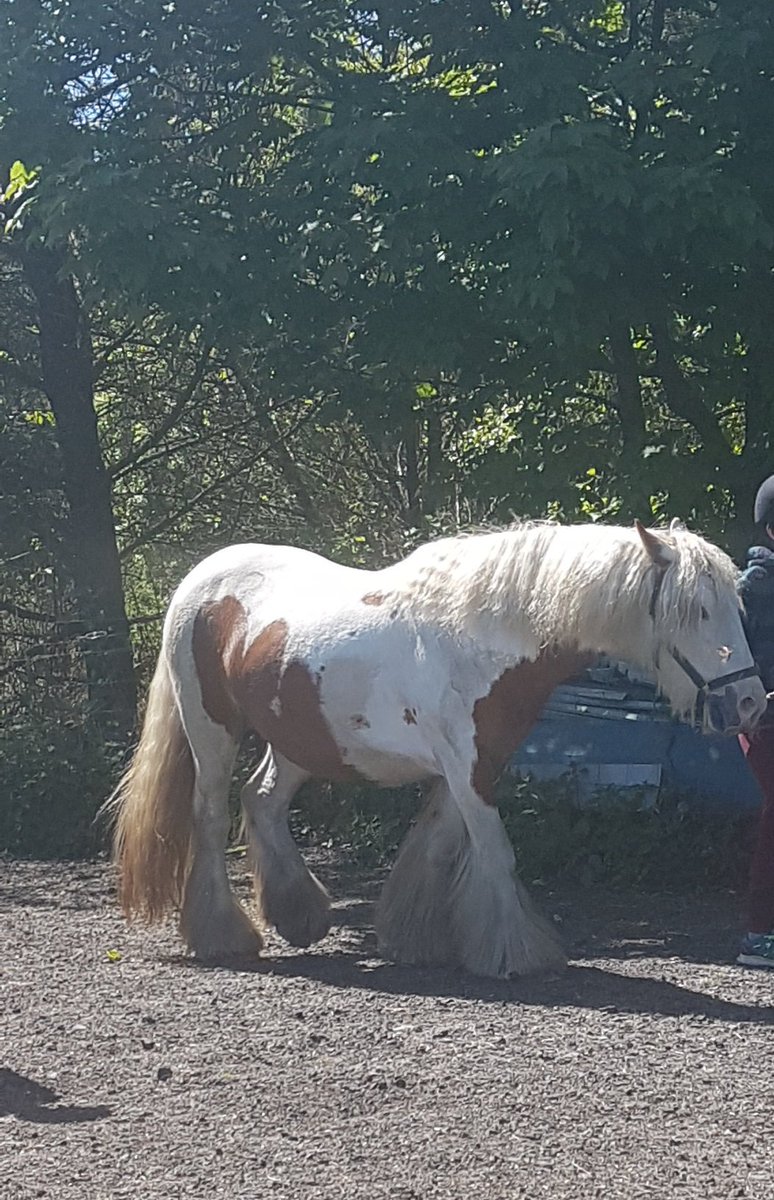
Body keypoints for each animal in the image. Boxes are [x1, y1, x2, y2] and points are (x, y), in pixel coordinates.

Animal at [107, 518, 766, 978]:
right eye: (696, 611)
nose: (750, 704)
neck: (486, 639)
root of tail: (200, 579)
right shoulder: (466, 766)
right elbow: (495, 852)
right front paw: (517, 954)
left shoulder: (475, 765)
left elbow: (437, 847)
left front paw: (414, 939)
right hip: (212, 729)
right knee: (211, 815)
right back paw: (224, 935)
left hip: (301, 740)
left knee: (262, 802)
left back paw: (300, 917)